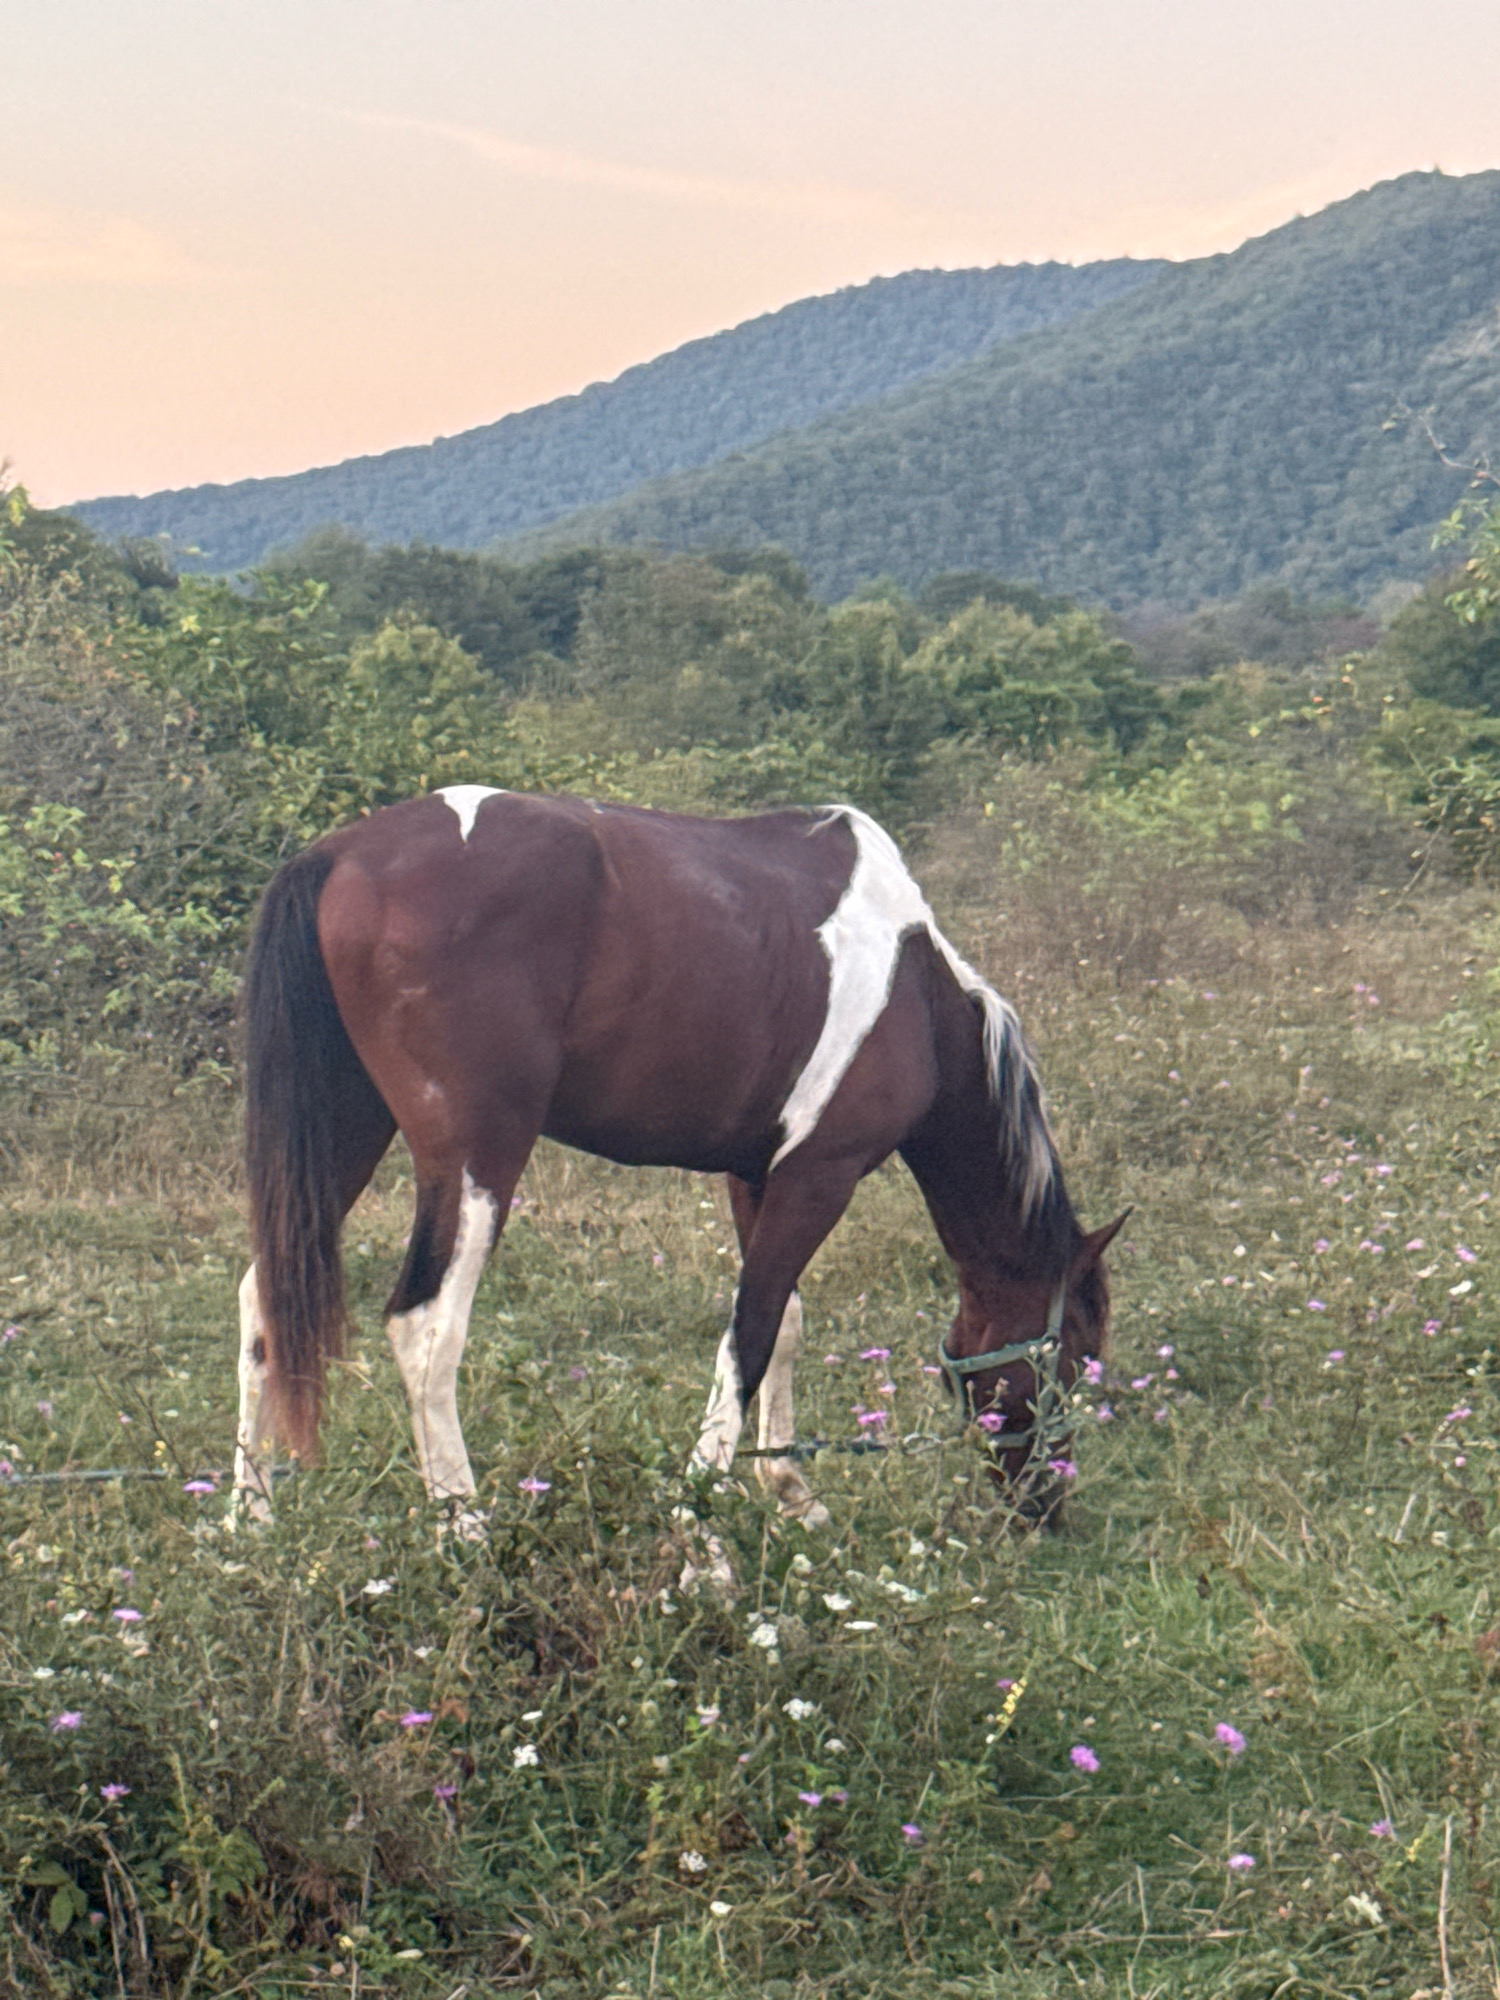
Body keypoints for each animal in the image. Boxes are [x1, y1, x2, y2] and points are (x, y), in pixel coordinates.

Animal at [232, 787, 1123, 1533]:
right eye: (1076, 1357)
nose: (1045, 1506)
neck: (914, 989)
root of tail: (338, 855)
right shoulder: (819, 1176)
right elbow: (750, 1336)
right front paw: (701, 1531)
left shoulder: (756, 1175)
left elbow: (786, 1323)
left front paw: (791, 1491)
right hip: (477, 1160)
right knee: (426, 1327)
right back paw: (466, 1526)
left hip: (347, 1132)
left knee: (264, 1295)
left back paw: (249, 1521)